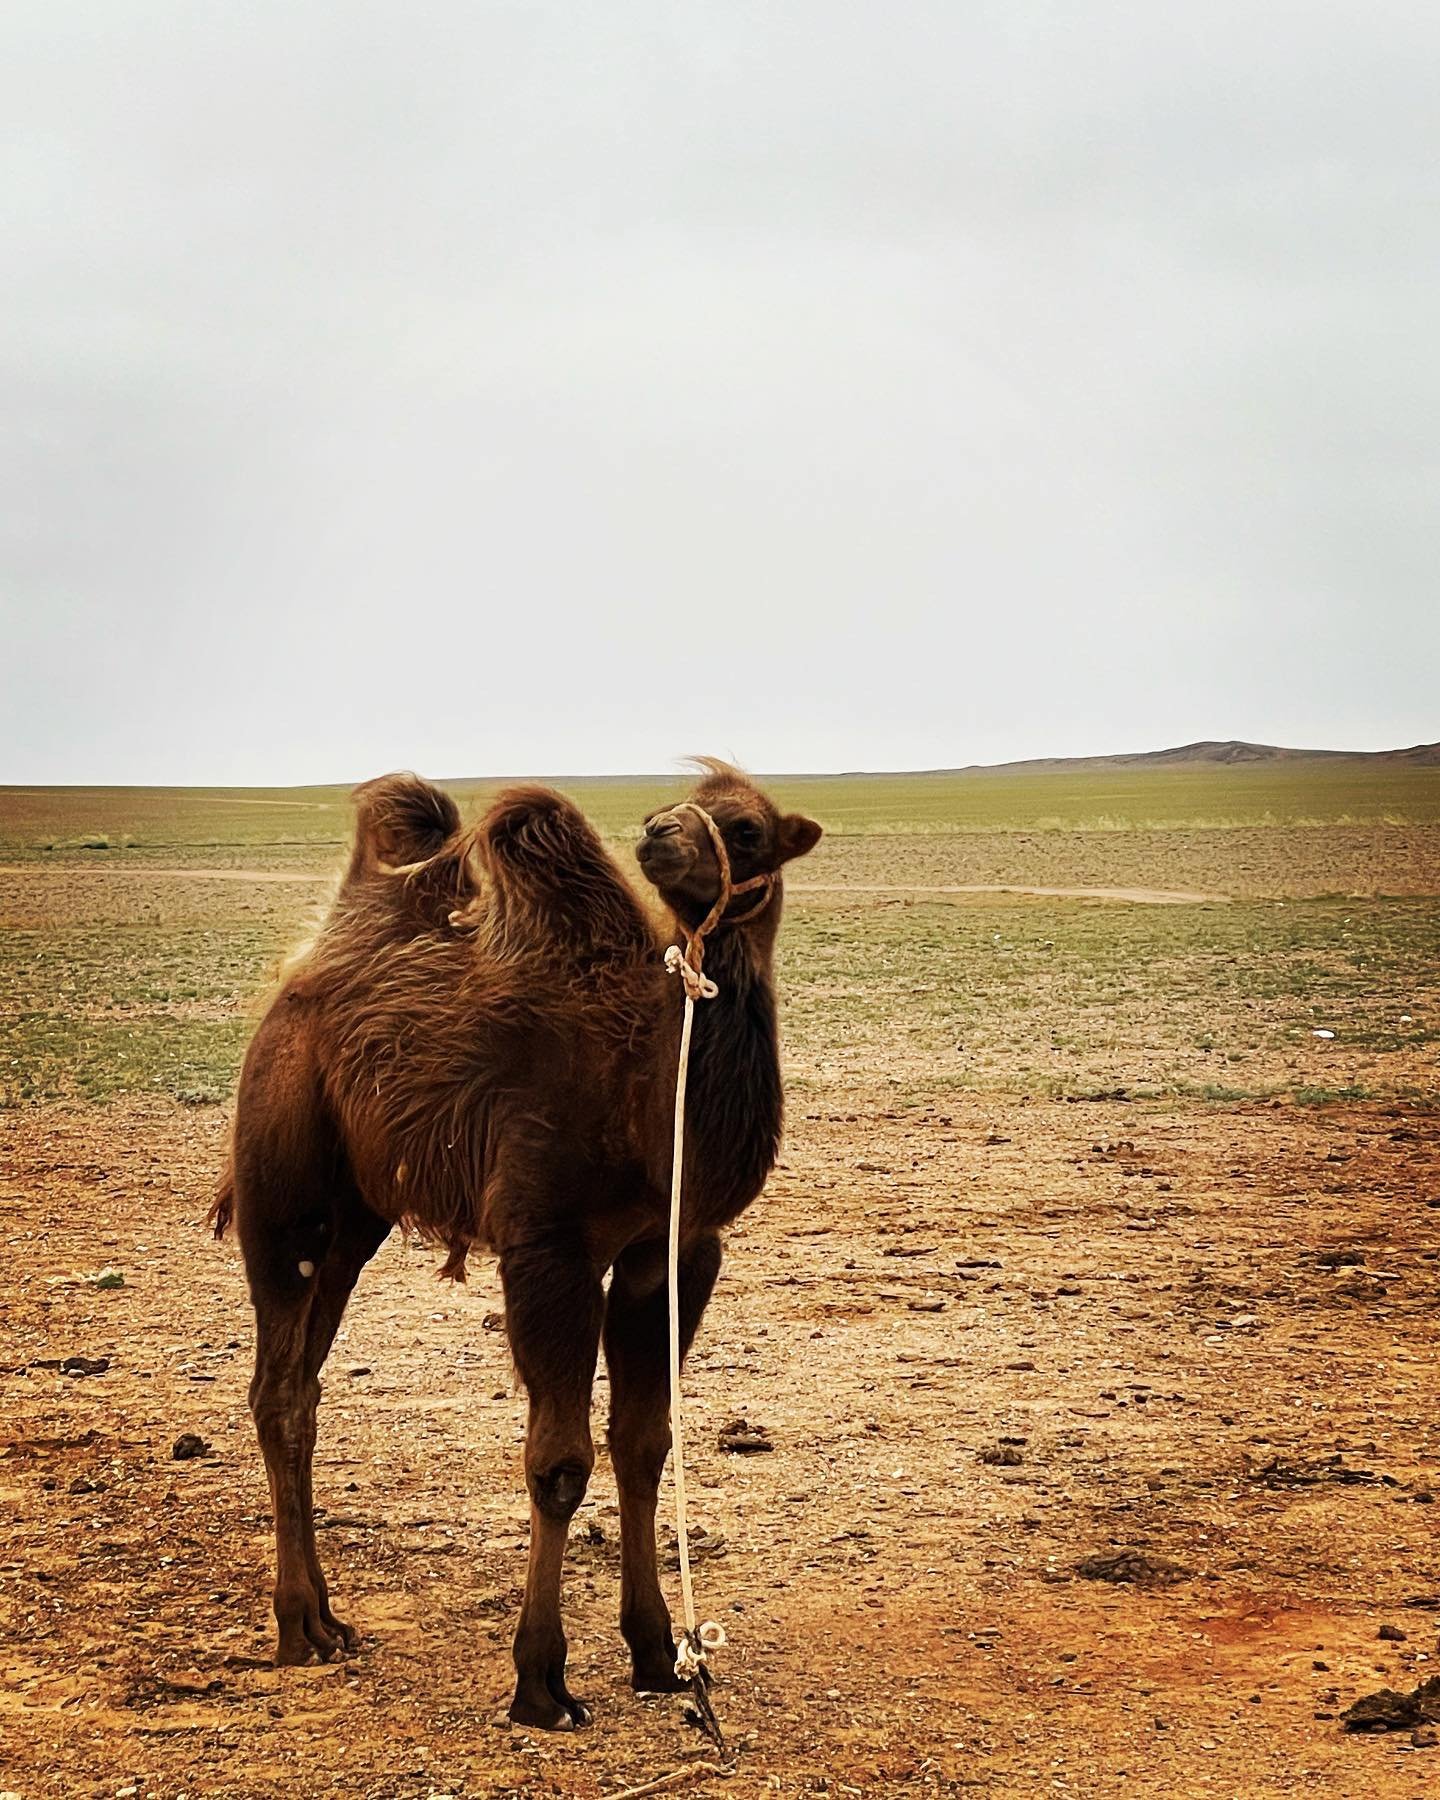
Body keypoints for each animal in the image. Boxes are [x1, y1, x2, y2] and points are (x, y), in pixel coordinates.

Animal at [212, 759, 820, 1728]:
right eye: (676, 809)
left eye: (749, 829)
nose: (657, 832)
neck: (646, 1098)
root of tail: (296, 981)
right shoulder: (548, 1244)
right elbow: (558, 1463)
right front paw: (541, 1681)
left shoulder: (674, 1251)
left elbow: (643, 1441)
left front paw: (660, 1653)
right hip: (286, 1187)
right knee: (275, 1386)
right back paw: (299, 1625)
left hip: (356, 1219)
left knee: (303, 1388)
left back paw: (331, 1620)